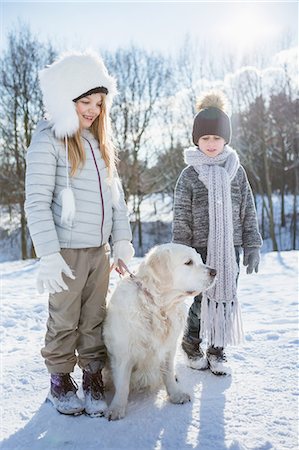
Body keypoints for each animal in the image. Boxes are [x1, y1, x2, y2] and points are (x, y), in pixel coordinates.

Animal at [103, 244, 216, 420]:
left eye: (199, 259)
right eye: (188, 262)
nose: (215, 271)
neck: (158, 307)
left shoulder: (169, 348)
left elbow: (168, 373)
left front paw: (176, 394)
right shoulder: (123, 352)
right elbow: (122, 384)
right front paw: (117, 408)